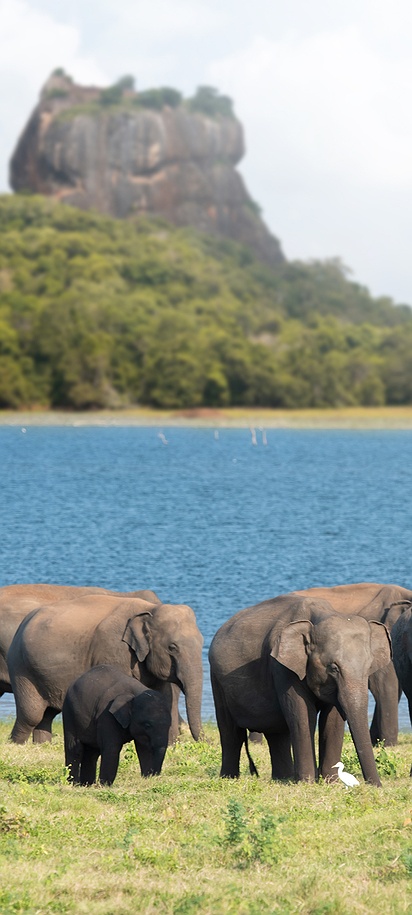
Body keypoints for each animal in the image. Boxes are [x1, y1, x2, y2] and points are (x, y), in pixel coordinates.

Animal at [8, 593, 203, 746]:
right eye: (172, 647)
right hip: (21, 668)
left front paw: (168, 745)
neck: (151, 608)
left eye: (202, 641)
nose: (204, 742)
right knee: (31, 715)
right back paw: (16, 745)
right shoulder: (114, 650)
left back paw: (42, 745)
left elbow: (163, 697)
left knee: (47, 715)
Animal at [209, 593, 392, 786]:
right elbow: (302, 715)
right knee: (231, 732)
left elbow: (332, 718)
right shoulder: (282, 667)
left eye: (369, 667)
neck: (319, 615)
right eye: (333, 668)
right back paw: (229, 778)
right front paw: (307, 782)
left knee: (277, 734)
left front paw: (330, 782)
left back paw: (283, 778)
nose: (375, 786)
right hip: (217, 681)